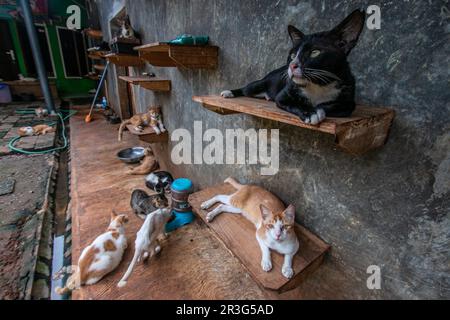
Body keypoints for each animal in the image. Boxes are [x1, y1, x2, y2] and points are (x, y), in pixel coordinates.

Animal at [221, 10, 366, 125]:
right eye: (292, 55)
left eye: (315, 52)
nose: (292, 65)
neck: (318, 84)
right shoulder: (282, 96)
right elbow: (295, 103)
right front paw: (310, 113)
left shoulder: (348, 99)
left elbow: (332, 106)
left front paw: (317, 109)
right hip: (259, 84)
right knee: (246, 89)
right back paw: (229, 92)